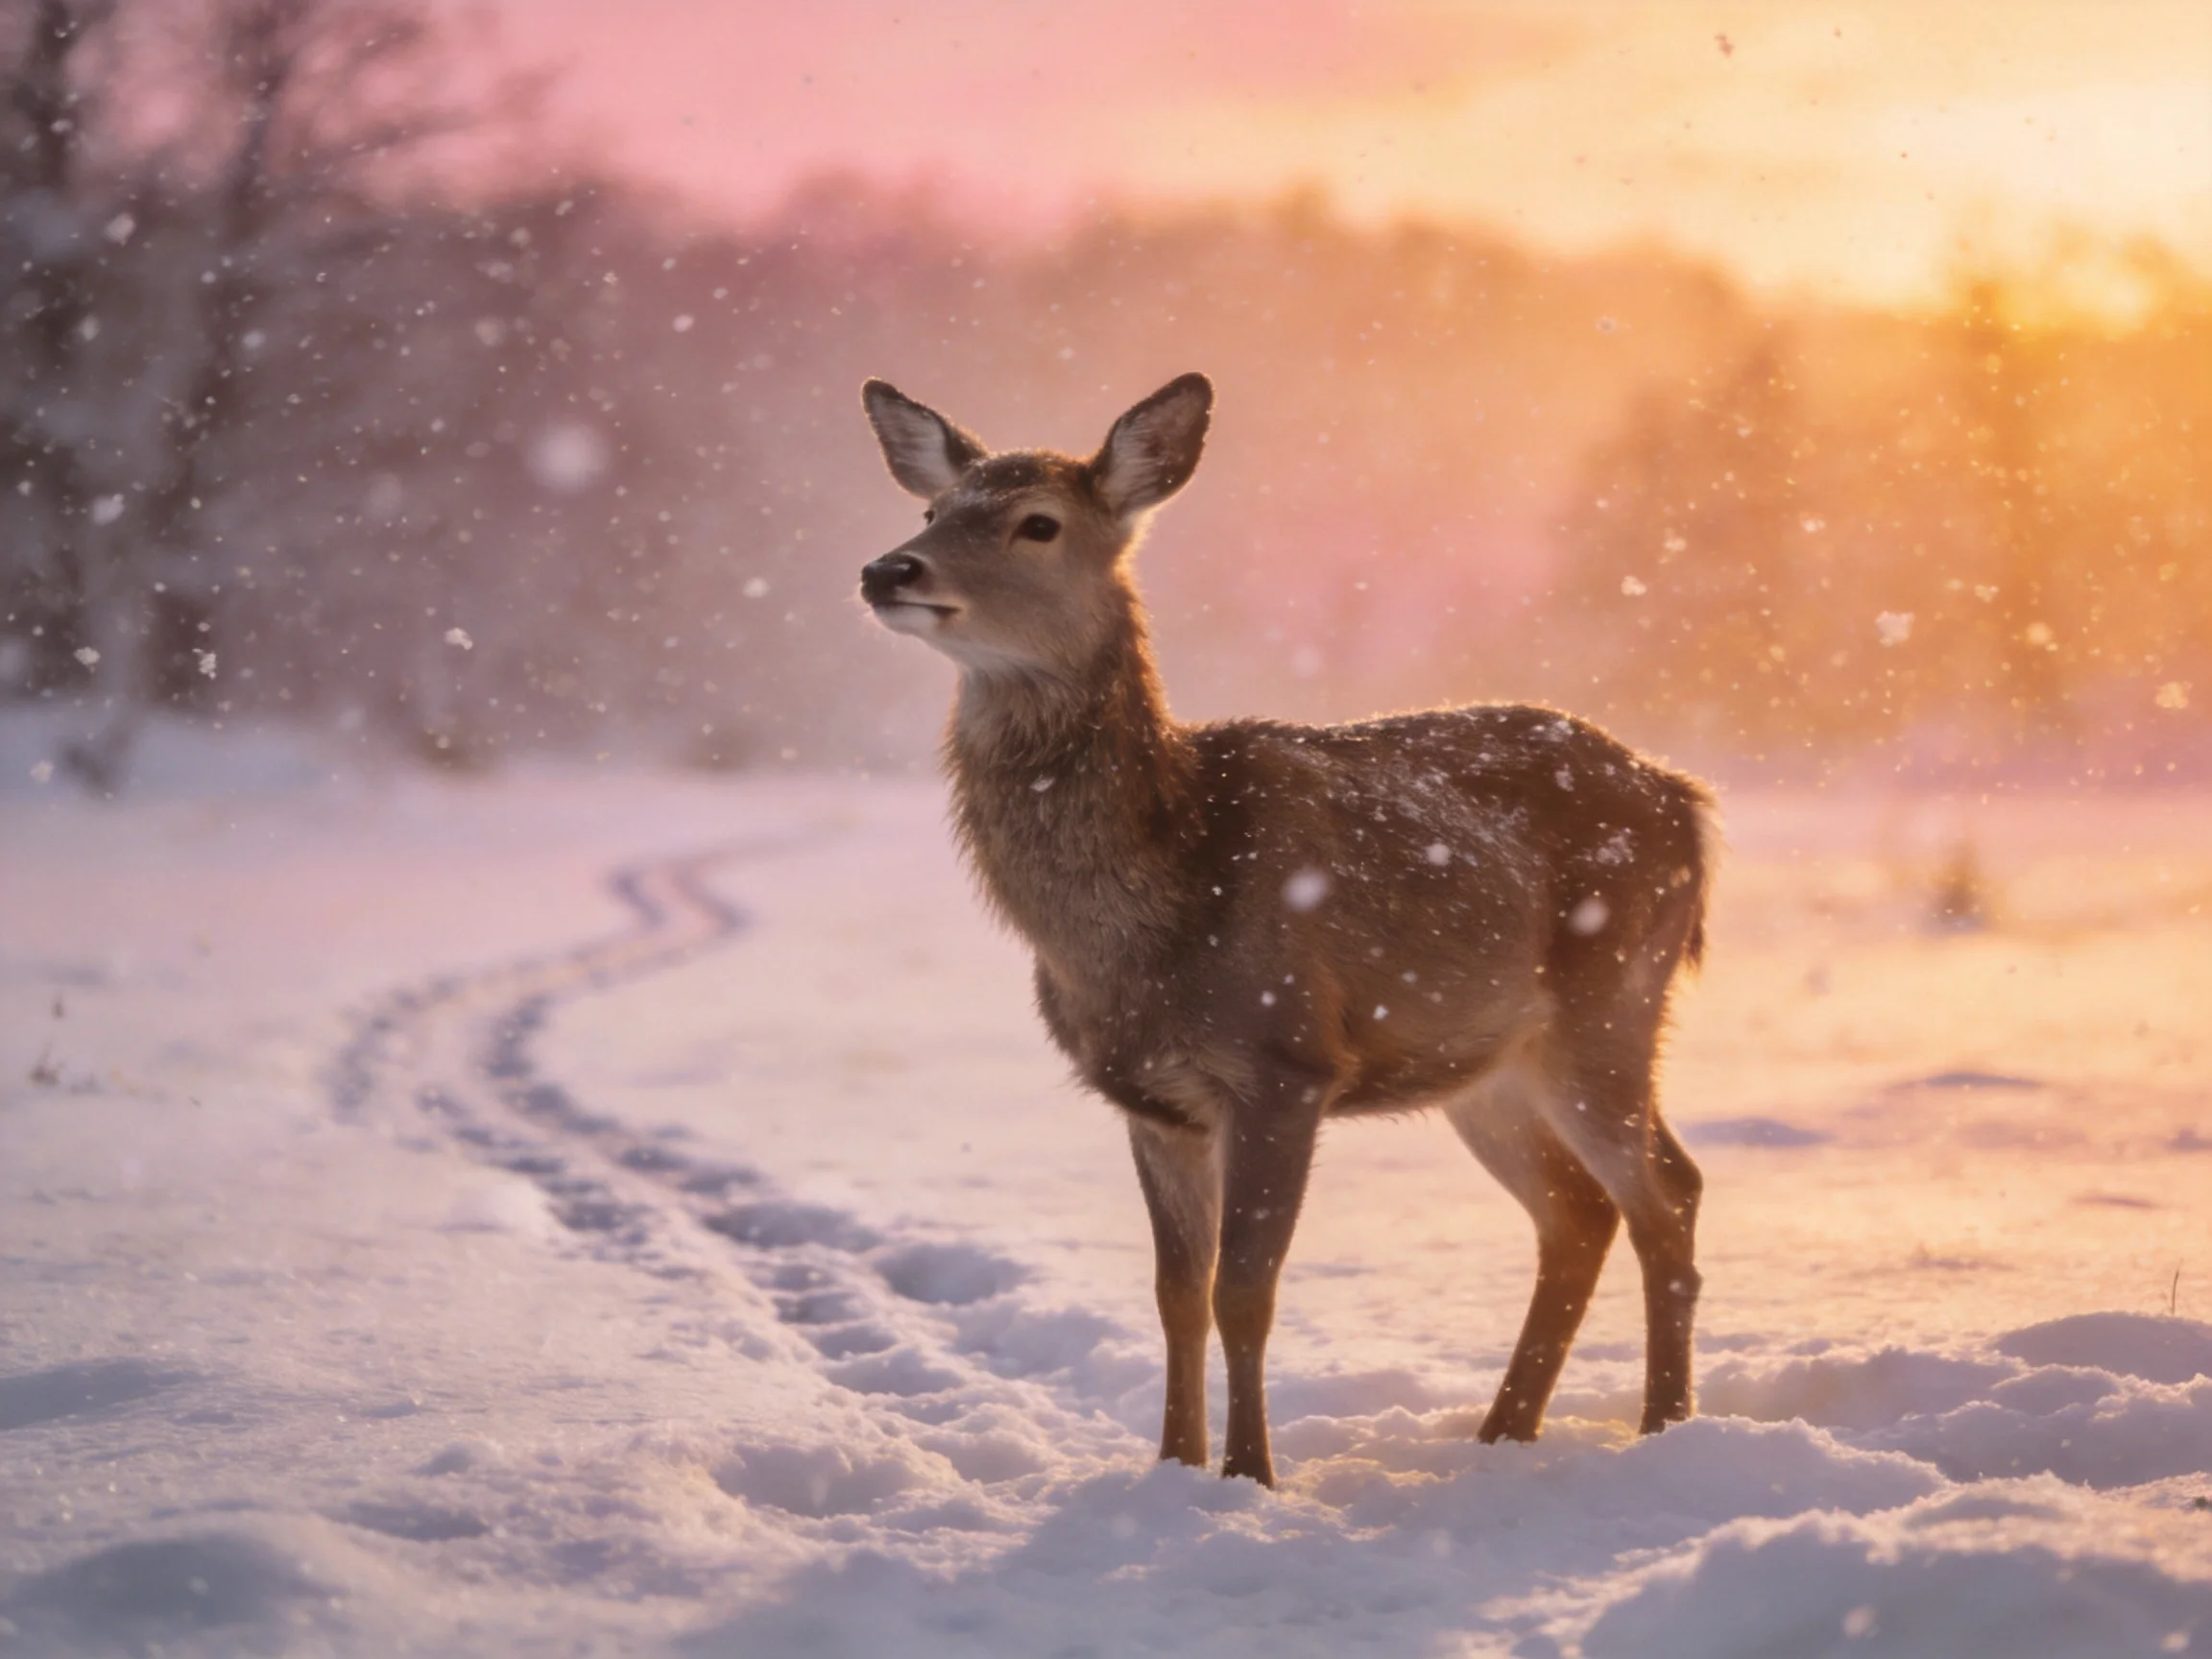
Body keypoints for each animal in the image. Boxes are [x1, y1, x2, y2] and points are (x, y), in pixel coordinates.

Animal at [857, 372, 1715, 1488]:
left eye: (1036, 523)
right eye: (932, 510)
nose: (887, 568)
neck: (1157, 905)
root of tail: (1687, 802)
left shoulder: (1285, 1060)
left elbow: (1245, 1290)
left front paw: (1249, 1477)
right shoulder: (1152, 1098)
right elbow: (1176, 1295)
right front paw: (1174, 1470)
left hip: (1610, 1002)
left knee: (1668, 1191)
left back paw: (1665, 1430)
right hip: (1487, 1063)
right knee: (1579, 1210)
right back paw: (1502, 1436)